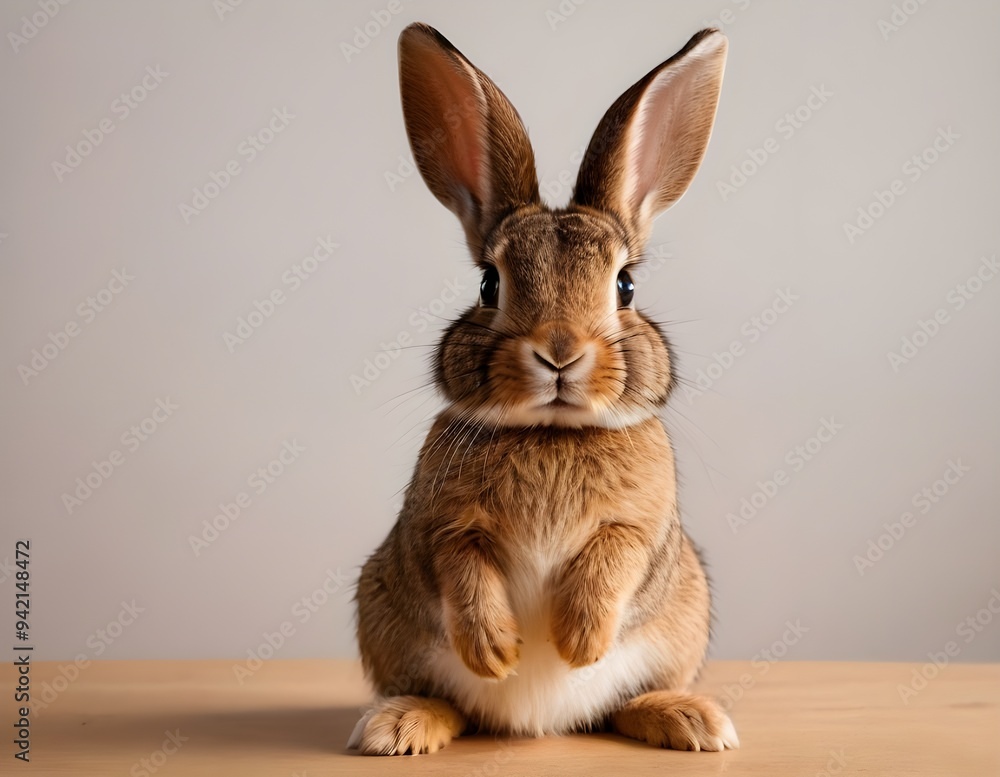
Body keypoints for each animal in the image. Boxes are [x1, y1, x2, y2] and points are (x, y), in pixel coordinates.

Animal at [348, 22, 736, 756]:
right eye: (488, 284)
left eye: (626, 285)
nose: (559, 351)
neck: (552, 432)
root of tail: (539, 724)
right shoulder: (439, 527)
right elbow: (462, 566)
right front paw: (498, 650)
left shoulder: (641, 527)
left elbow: (616, 555)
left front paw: (576, 640)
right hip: (382, 609)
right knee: (448, 701)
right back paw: (399, 724)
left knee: (623, 703)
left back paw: (691, 719)